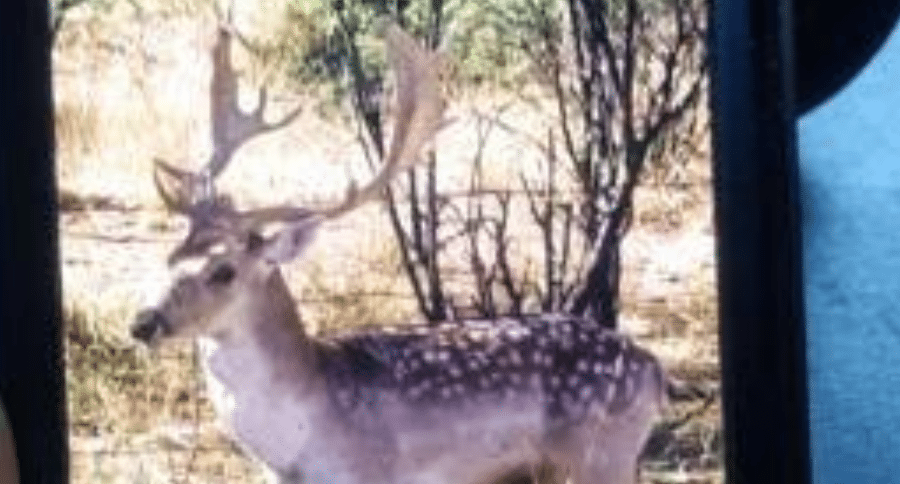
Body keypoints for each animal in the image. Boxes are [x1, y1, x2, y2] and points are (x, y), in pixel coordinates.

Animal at [135, 18, 668, 484]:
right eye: (169, 258)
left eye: (223, 271)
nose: (142, 322)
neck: (300, 448)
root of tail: (654, 369)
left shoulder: (374, 471)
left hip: (603, 454)